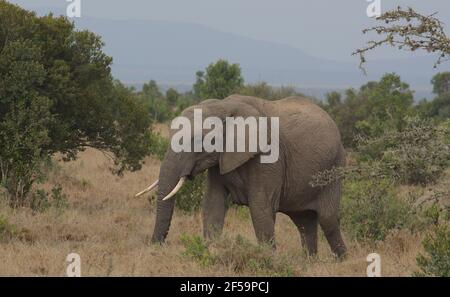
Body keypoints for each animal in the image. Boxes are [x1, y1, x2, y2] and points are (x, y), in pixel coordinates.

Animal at [137, 95, 348, 256]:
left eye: (197, 140)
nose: (156, 246)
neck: (223, 105)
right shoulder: (220, 159)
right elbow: (213, 204)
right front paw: (210, 252)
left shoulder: (269, 156)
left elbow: (260, 207)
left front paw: (268, 261)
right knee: (304, 222)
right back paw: (309, 262)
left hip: (335, 166)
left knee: (328, 220)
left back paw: (341, 260)